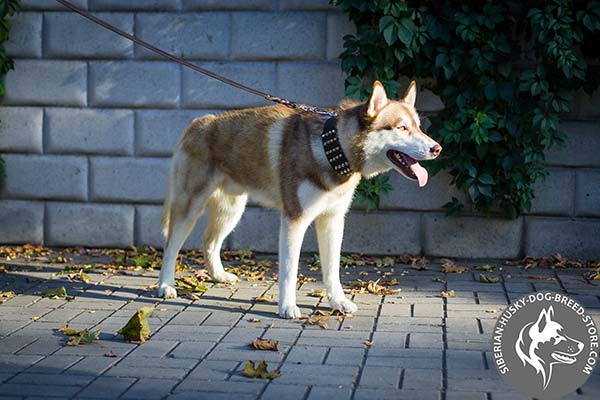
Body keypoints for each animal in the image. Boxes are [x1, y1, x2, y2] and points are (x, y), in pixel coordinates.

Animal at [158, 81, 440, 318]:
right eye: (402, 128)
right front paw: (287, 307)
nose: (437, 148)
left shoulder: (333, 220)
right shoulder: (295, 219)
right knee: (171, 246)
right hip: (189, 206)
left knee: (210, 241)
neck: (332, 148)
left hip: (232, 210)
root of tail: (198, 121)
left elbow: (332, 269)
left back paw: (218, 275)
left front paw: (338, 301)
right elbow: (289, 272)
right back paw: (165, 286)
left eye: (418, 127)